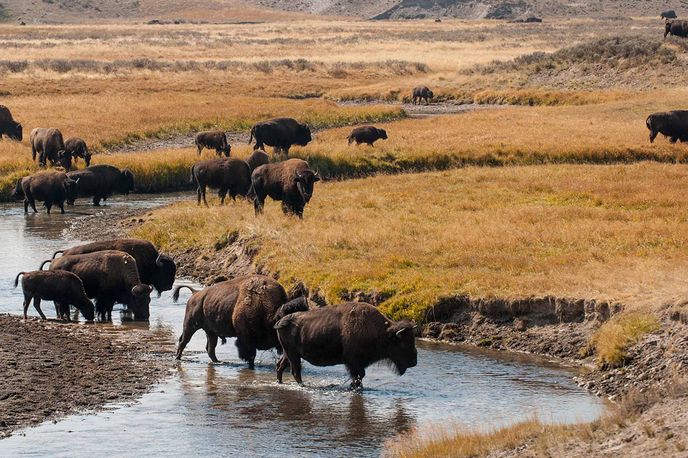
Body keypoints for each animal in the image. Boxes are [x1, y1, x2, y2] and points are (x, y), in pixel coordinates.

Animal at [173, 275, 309, 368]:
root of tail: (195, 293)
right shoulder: (246, 338)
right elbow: (251, 355)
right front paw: (251, 367)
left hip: (211, 332)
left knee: (210, 348)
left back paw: (218, 361)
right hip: (190, 325)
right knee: (183, 341)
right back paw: (178, 358)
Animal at [275, 302, 417, 388]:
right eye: (403, 344)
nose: (414, 362)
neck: (382, 332)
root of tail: (281, 321)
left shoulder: (357, 363)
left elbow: (359, 376)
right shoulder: (352, 361)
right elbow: (359, 375)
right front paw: (355, 387)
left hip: (289, 353)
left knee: (280, 365)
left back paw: (280, 382)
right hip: (293, 354)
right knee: (295, 371)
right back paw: (302, 385)